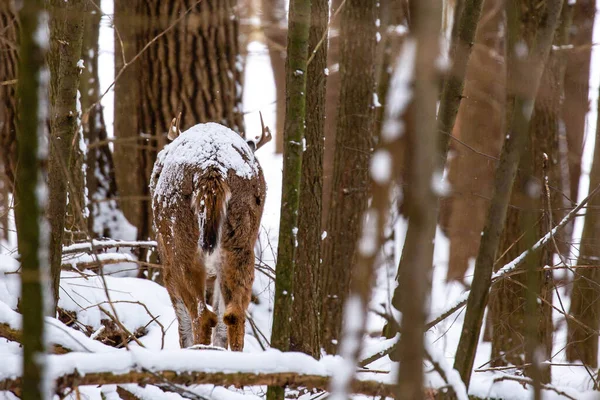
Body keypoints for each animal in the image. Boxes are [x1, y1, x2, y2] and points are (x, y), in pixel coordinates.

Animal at [150, 115, 272, 350]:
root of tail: (212, 166)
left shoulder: (166, 263)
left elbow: (183, 322)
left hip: (180, 242)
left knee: (202, 315)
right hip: (241, 239)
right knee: (234, 313)